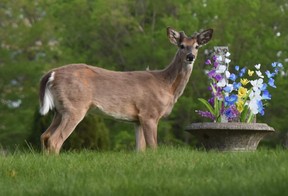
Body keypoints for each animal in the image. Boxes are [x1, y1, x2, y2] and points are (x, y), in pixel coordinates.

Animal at [39, 26, 213, 154]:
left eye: (197, 46)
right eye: (182, 46)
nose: (190, 56)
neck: (166, 85)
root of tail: (51, 73)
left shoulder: (137, 119)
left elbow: (140, 150)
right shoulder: (149, 113)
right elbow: (153, 147)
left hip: (60, 110)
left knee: (45, 136)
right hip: (75, 107)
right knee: (55, 140)